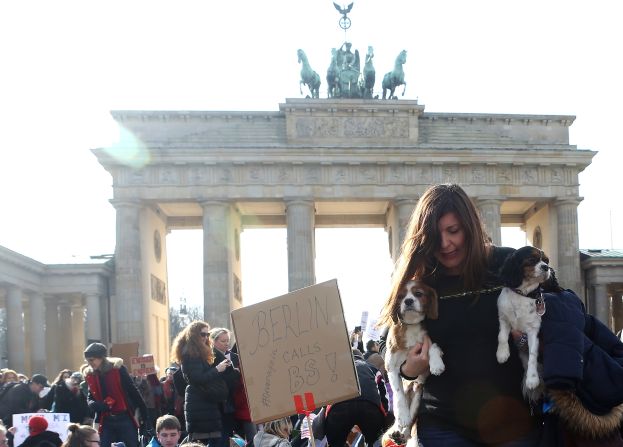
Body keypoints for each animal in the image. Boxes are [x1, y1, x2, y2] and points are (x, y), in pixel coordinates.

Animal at [386, 282, 444, 442]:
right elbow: (398, 394)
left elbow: (433, 347)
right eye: (400, 296)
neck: (411, 325)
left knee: (411, 422)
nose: (408, 301)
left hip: (418, 393)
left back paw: (403, 434)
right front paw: (403, 416)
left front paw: (437, 365)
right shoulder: (391, 367)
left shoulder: (428, 342)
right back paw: (397, 429)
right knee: (399, 414)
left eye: (418, 294)